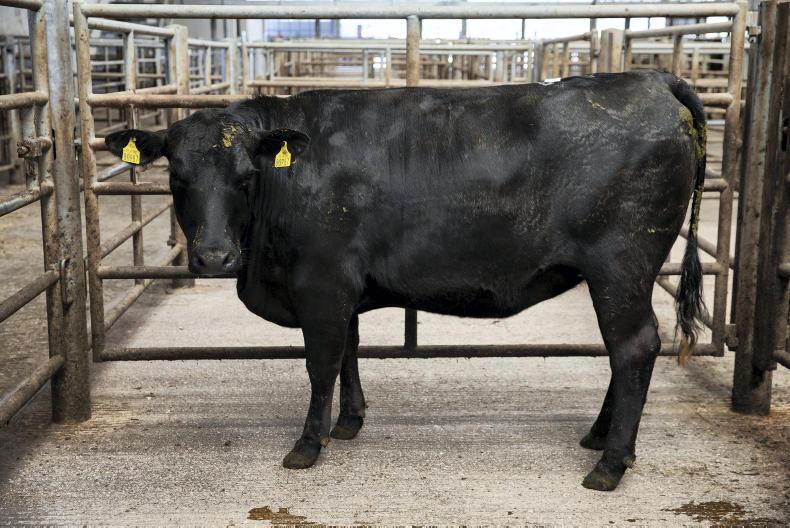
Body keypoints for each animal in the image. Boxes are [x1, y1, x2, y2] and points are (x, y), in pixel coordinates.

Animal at [105, 69, 708, 491]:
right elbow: (349, 350)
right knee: (623, 351)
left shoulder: (321, 283)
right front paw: (348, 422)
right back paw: (599, 437)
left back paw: (610, 464)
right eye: (176, 177)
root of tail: (651, 78)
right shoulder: (339, 288)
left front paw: (308, 445)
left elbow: (321, 362)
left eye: (246, 176)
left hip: (620, 268)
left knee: (633, 346)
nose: (214, 256)